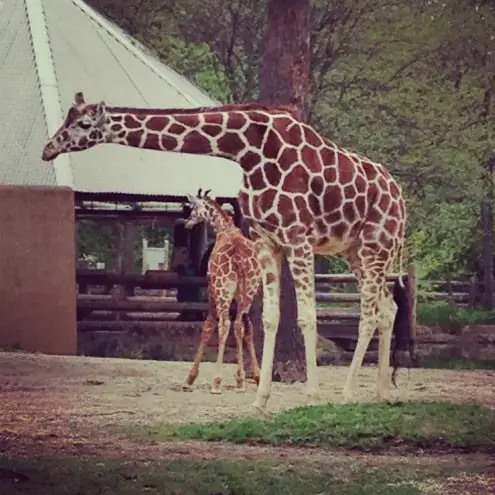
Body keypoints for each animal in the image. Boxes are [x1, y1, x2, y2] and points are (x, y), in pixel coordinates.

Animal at [183, 190, 262, 396]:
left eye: (193, 208)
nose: (187, 223)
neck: (224, 229)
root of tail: (239, 258)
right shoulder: (239, 296)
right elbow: (245, 327)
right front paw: (249, 377)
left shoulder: (211, 289)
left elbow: (208, 327)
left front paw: (190, 379)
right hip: (248, 292)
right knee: (239, 325)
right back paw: (241, 380)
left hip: (222, 290)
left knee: (225, 324)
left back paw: (216, 382)